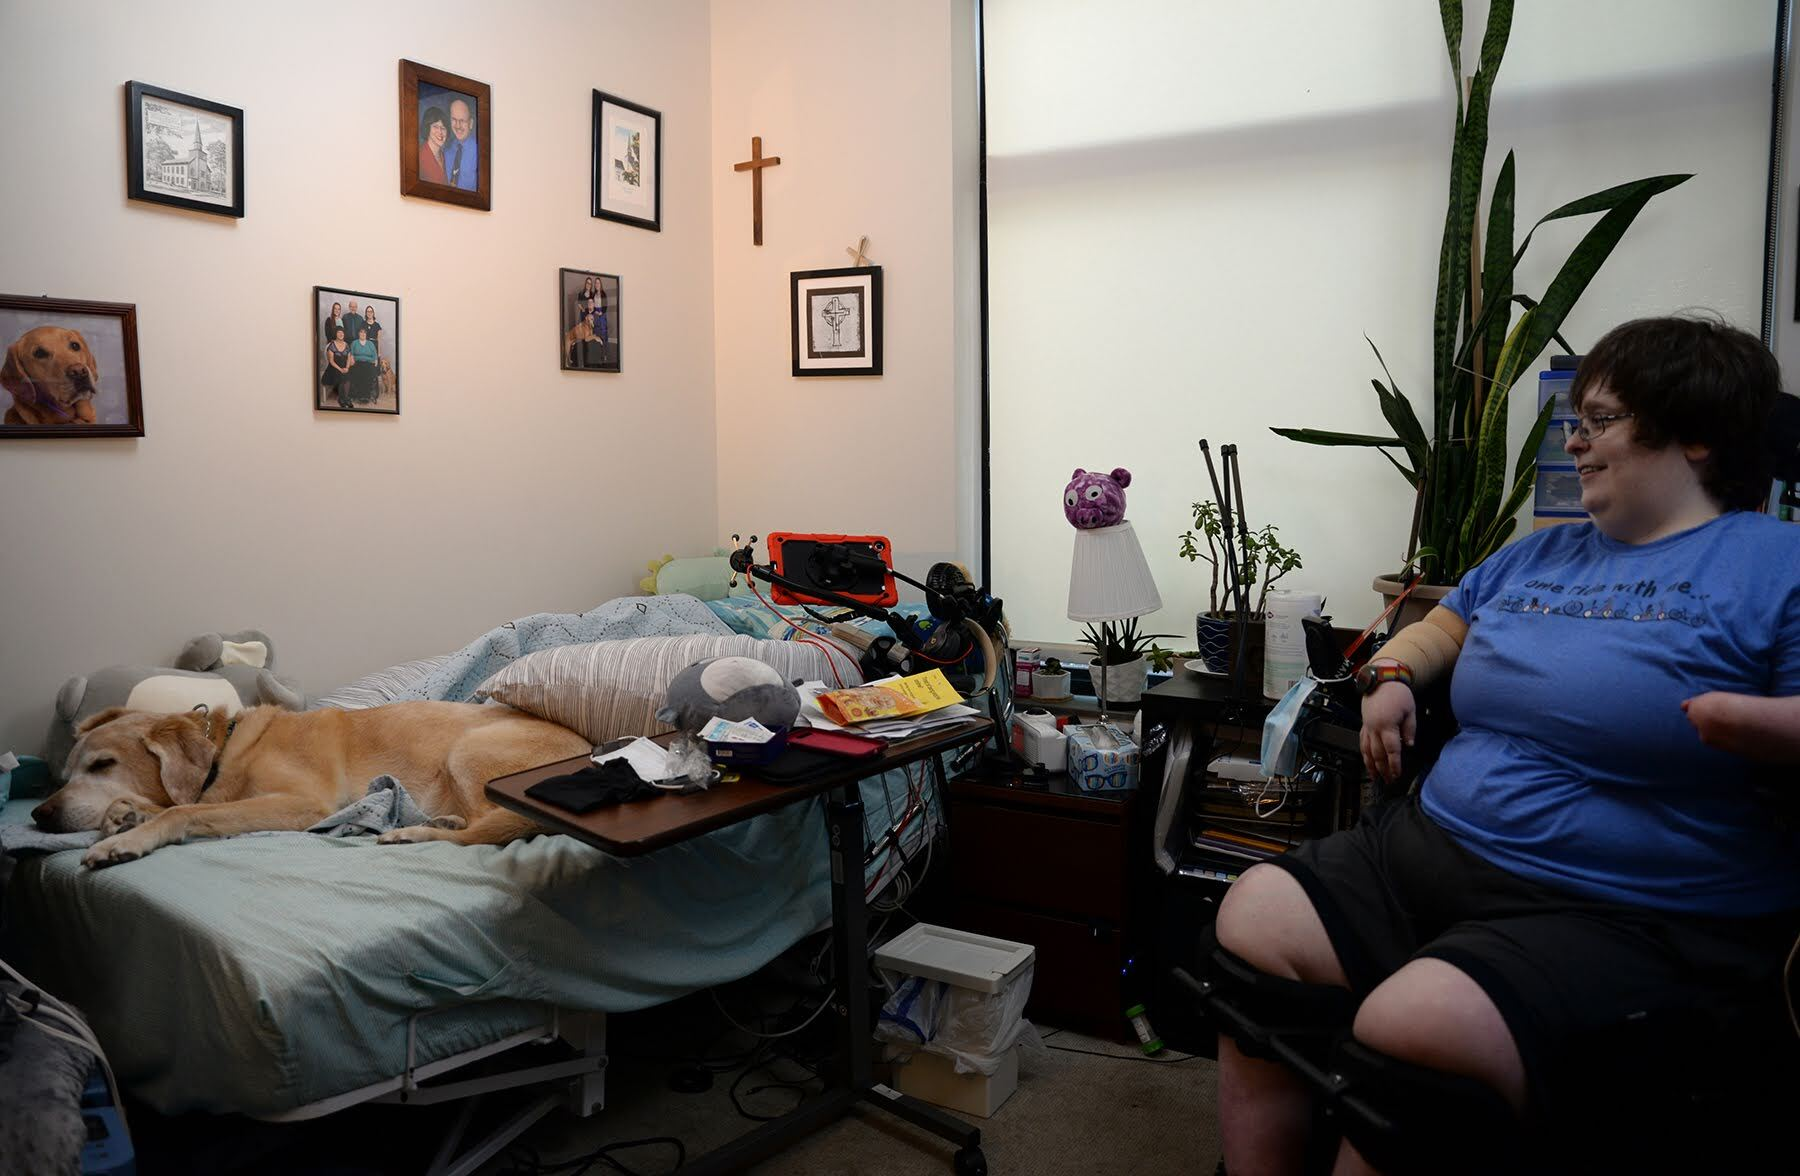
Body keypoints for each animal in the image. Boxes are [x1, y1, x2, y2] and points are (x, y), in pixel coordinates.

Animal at [29, 702, 590, 868]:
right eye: (66, 773)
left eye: (103, 764)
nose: (39, 814)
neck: (227, 750)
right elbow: (163, 805)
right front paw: (121, 816)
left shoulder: (302, 803)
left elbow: (182, 811)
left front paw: (124, 839)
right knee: (479, 826)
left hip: (468, 751)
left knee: (486, 832)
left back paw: (413, 832)